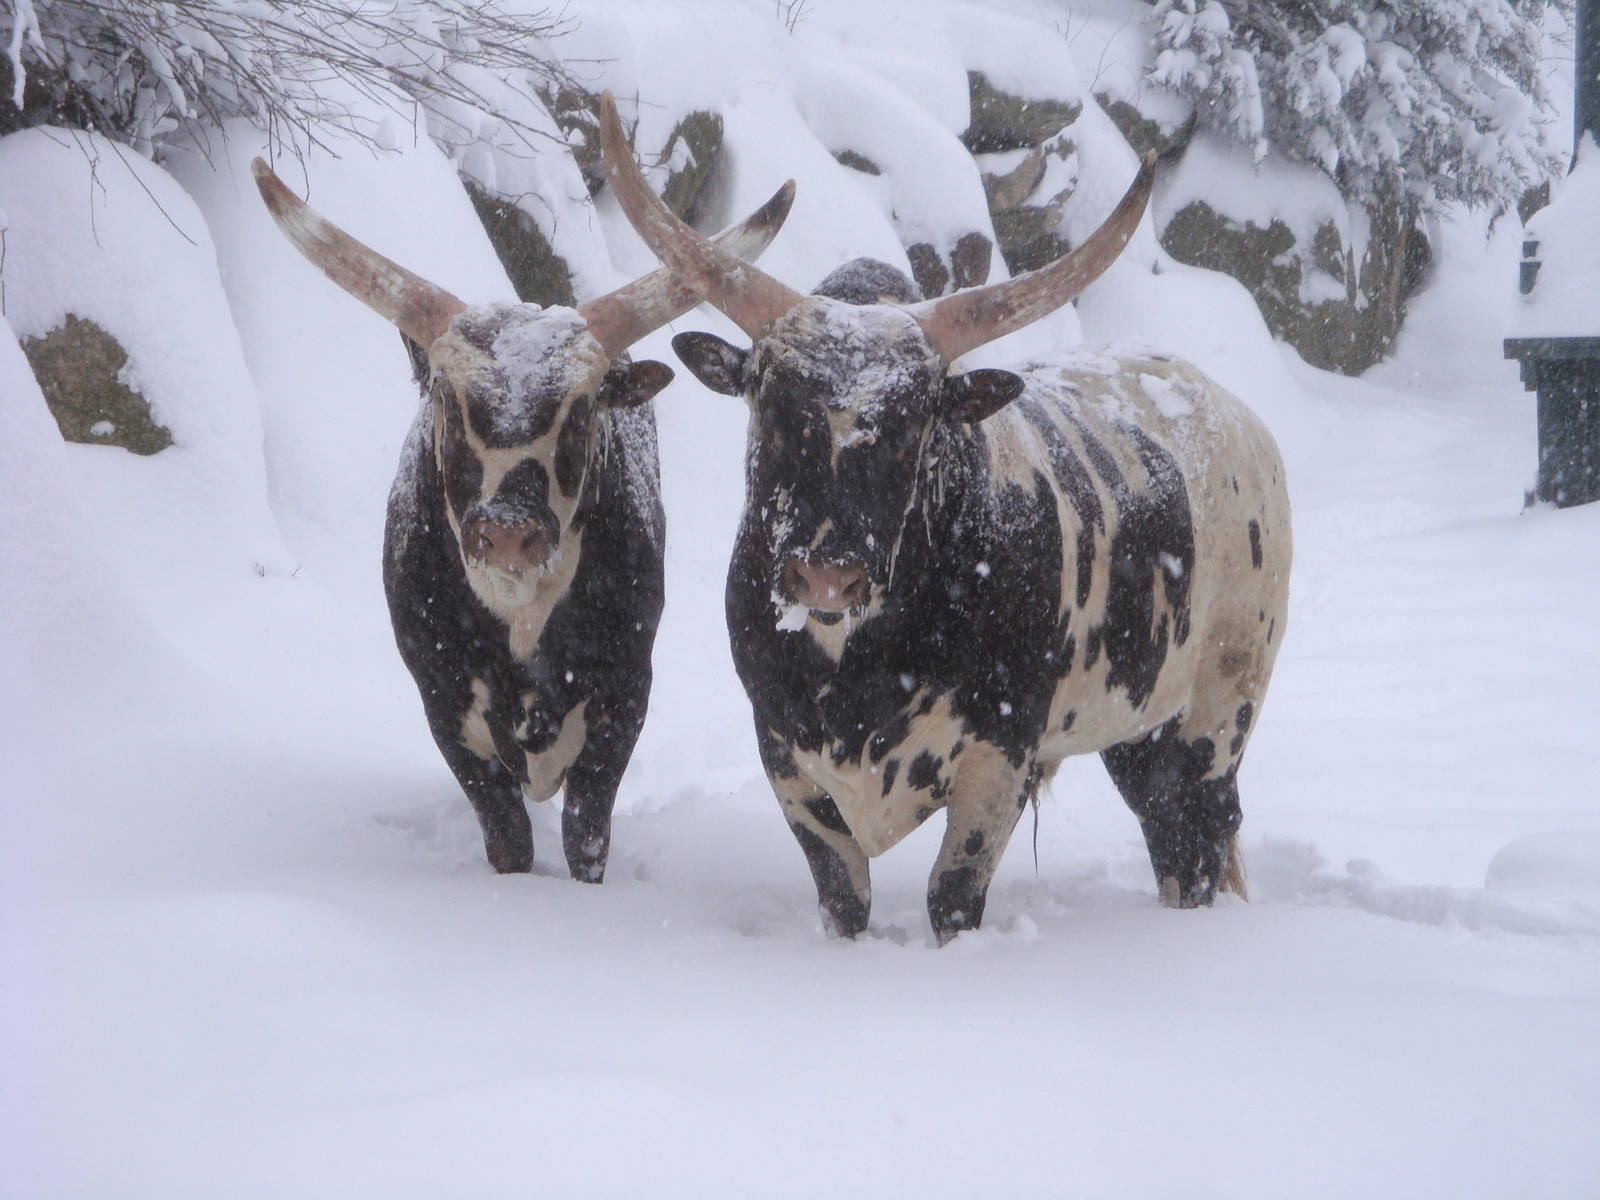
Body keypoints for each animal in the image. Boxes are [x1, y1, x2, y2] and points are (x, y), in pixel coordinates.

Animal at [252, 158, 793, 882]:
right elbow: (506, 836)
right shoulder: (446, 705)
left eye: (583, 409)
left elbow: (585, 834)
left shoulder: (623, 699)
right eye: (447, 401)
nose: (507, 530)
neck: (521, 614)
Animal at [598, 93, 1291, 943]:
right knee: (1167, 828)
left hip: (1215, 715)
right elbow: (843, 897)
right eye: (770, 401)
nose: (824, 574)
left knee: (1197, 837)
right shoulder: (786, 757)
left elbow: (952, 896)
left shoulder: (1000, 757)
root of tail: (1233, 415)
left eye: (915, 423)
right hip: (1138, 727)